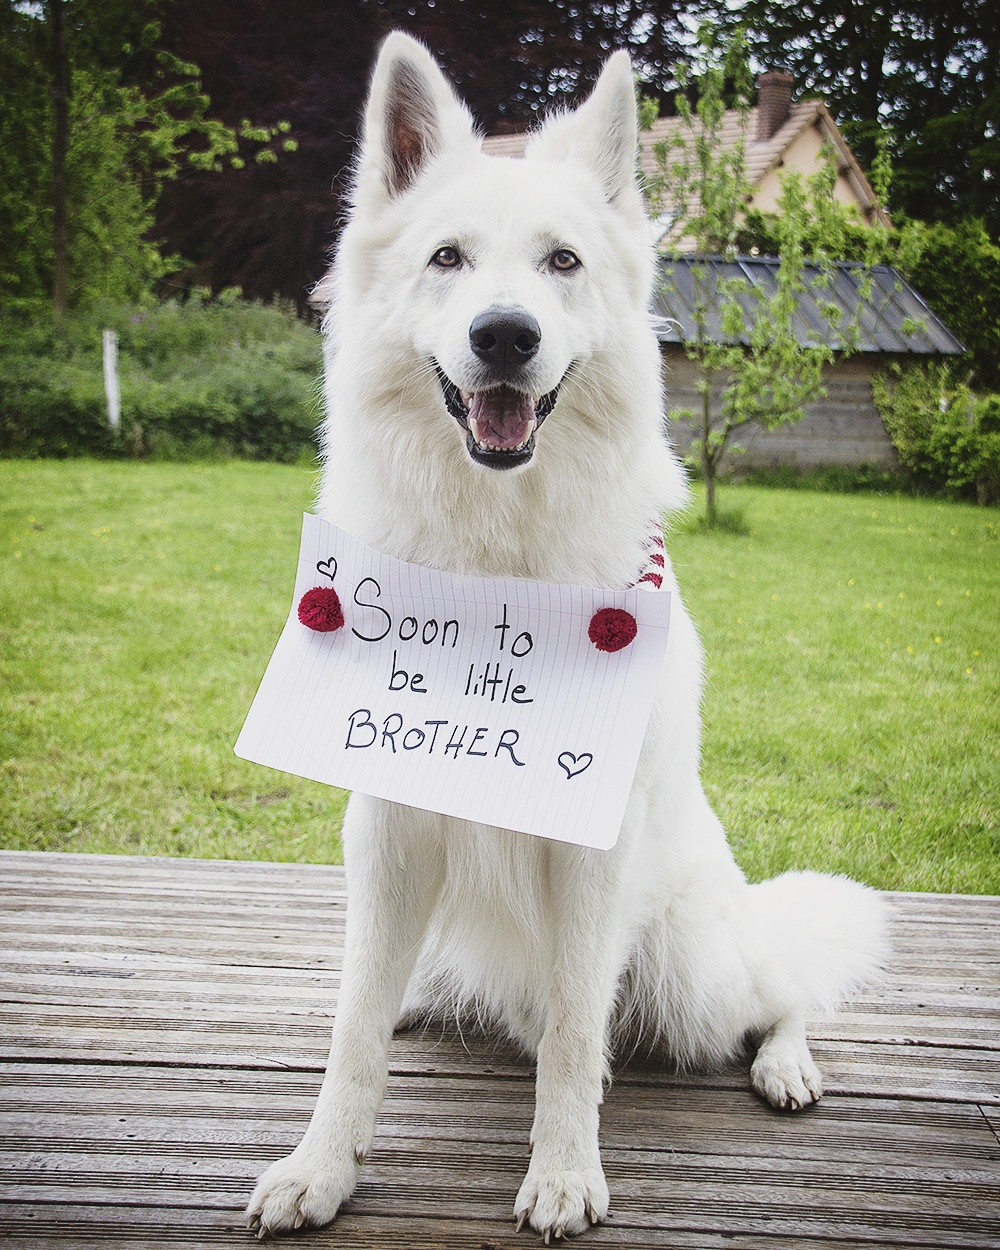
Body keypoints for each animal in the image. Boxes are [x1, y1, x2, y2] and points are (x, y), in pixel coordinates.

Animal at [246, 34, 885, 1245]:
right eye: (448, 259)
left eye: (562, 263)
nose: (505, 334)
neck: (496, 560)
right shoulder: (387, 831)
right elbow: (352, 1025)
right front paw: (322, 1163)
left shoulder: (589, 859)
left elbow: (579, 1035)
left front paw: (562, 1172)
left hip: (695, 973)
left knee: (777, 989)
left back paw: (786, 1062)